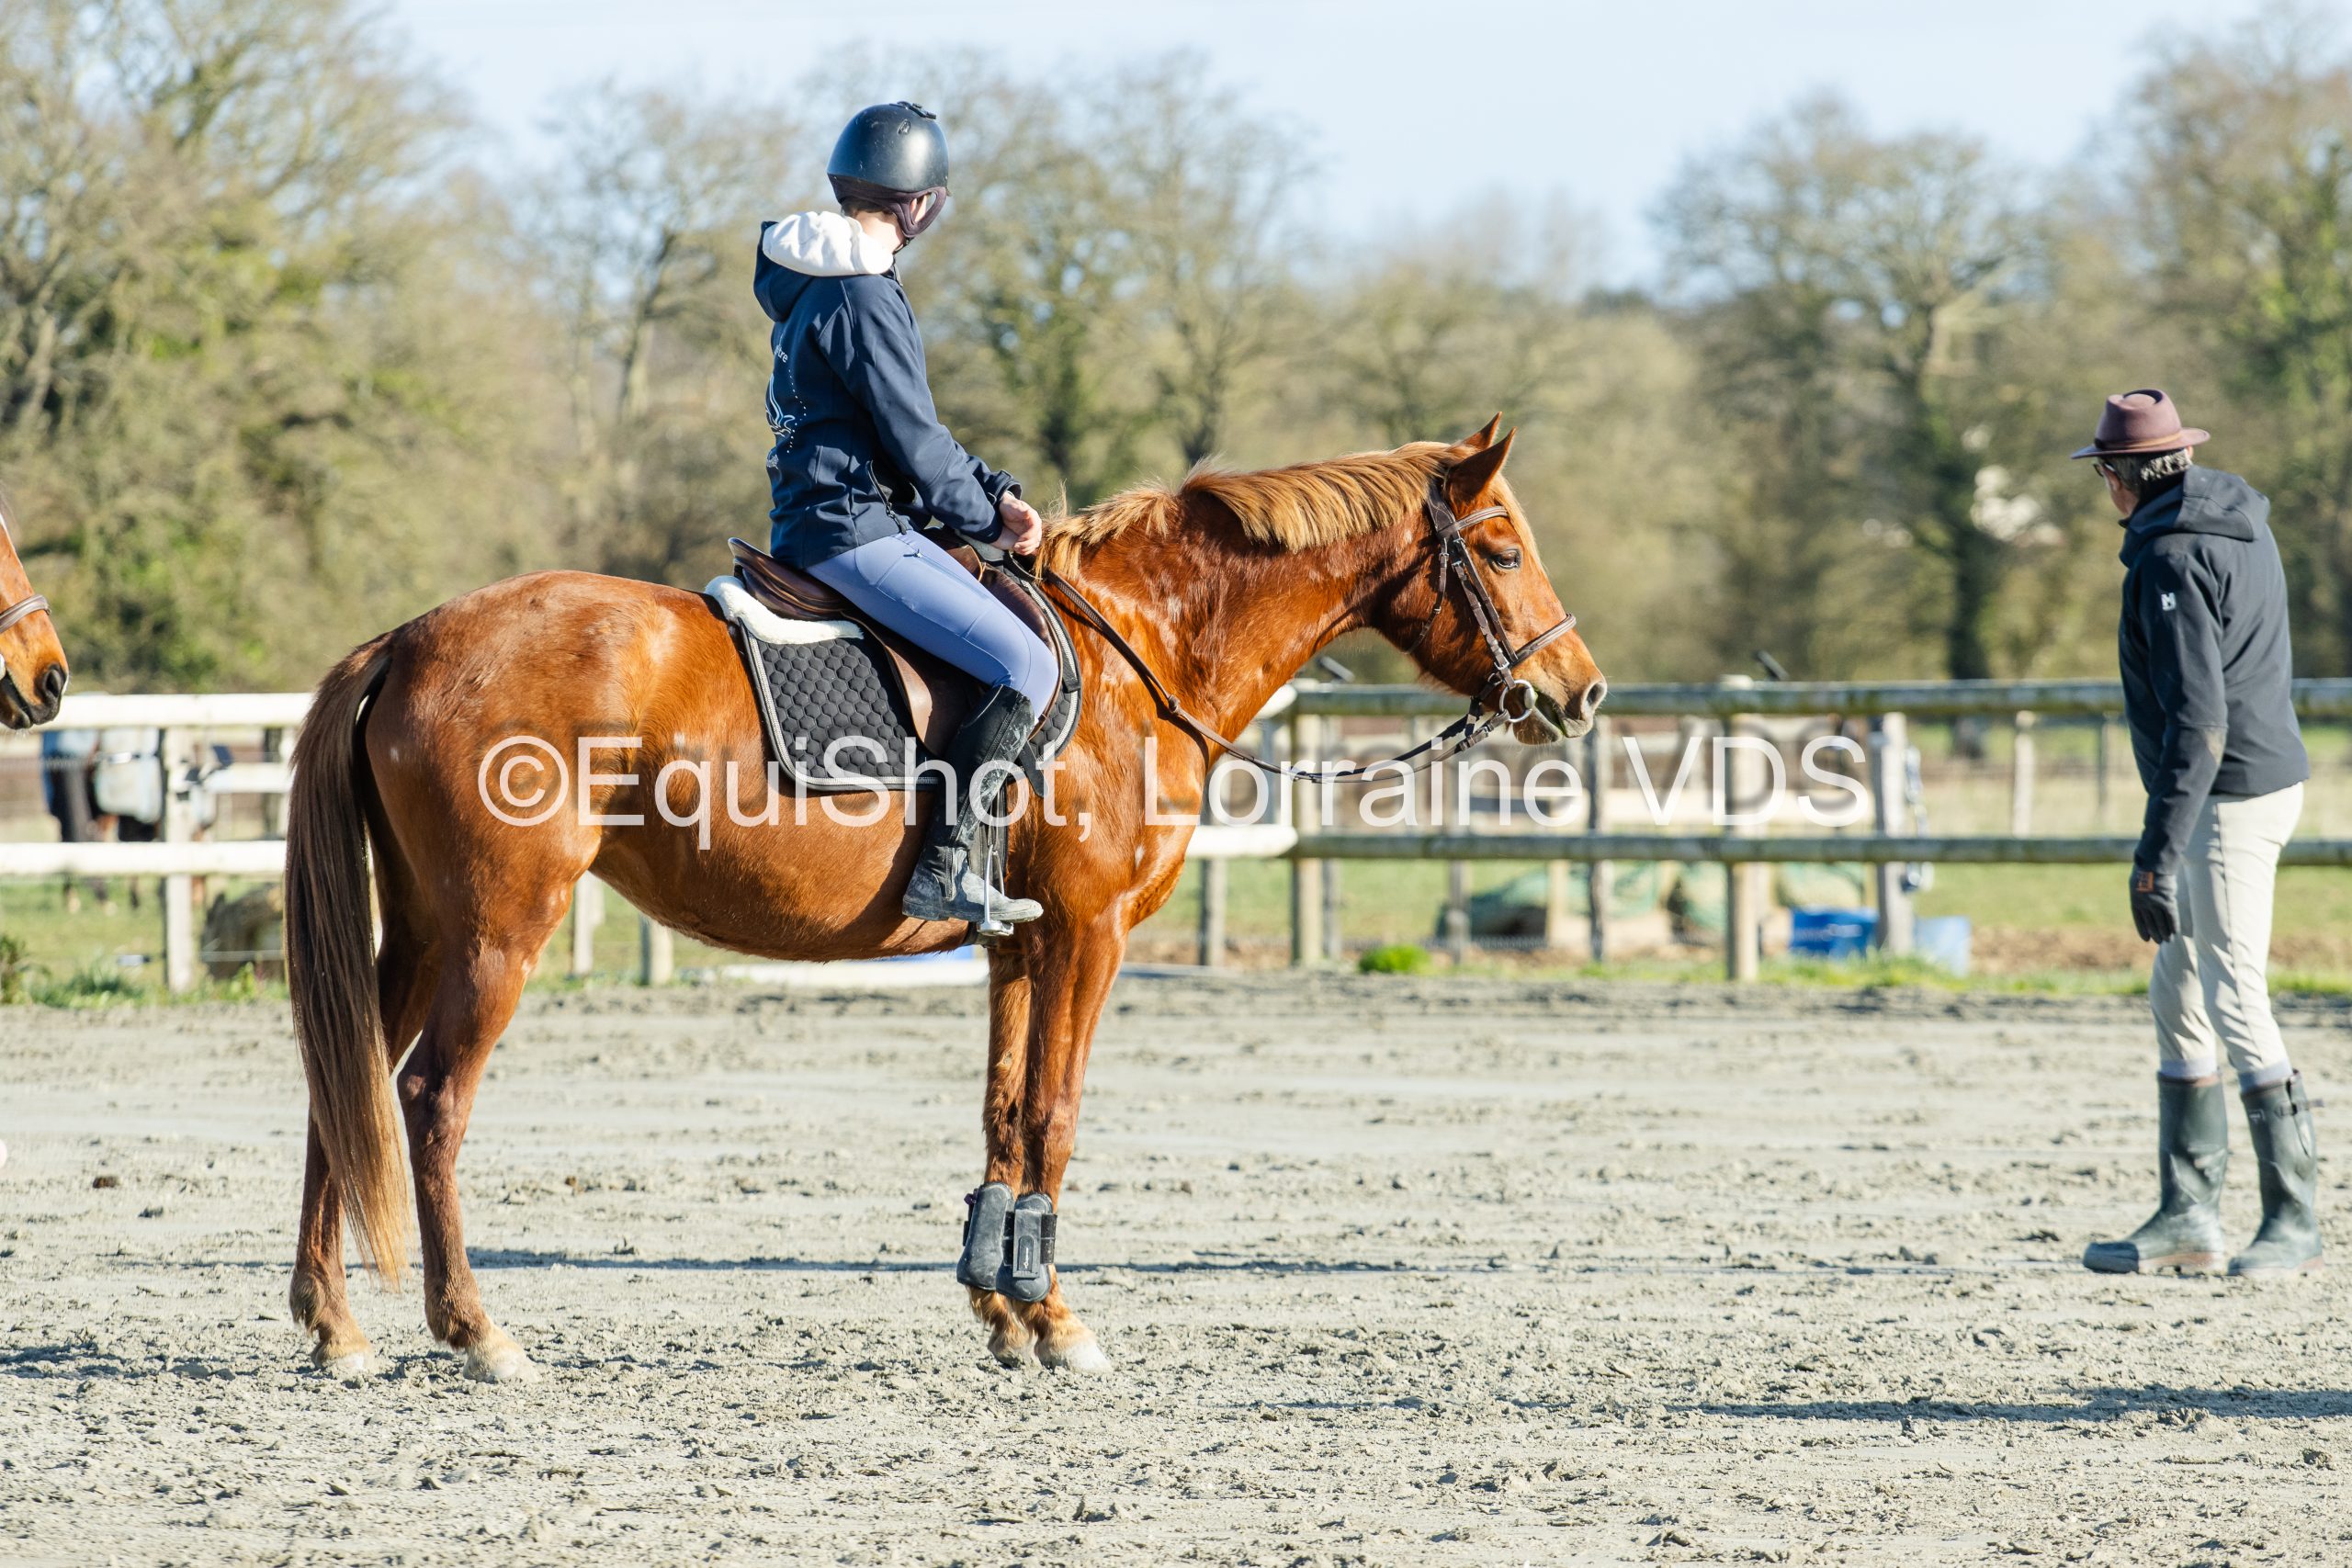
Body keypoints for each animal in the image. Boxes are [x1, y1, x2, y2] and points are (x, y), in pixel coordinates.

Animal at [283, 420, 1607, 1381]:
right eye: (1499, 551)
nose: (1580, 692)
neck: (1137, 653)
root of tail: (410, 638)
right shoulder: (1088, 935)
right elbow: (1058, 1115)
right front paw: (1055, 1319)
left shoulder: (1019, 948)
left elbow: (1005, 1112)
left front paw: (1002, 1307)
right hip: (496, 932)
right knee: (428, 1098)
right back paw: (475, 1330)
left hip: (422, 931)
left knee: (344, 1082)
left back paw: (335, 1326)